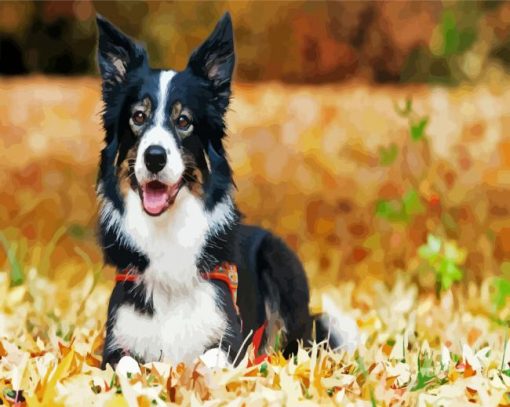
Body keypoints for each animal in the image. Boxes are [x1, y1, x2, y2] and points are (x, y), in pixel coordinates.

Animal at [95, 12, 346, 370]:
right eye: (138, 117)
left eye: (183, 121)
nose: (154, 157)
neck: (167, 231)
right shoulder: (114, 345)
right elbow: (126, 368)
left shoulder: (232, 340)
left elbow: (209, 361)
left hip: (280, 260)